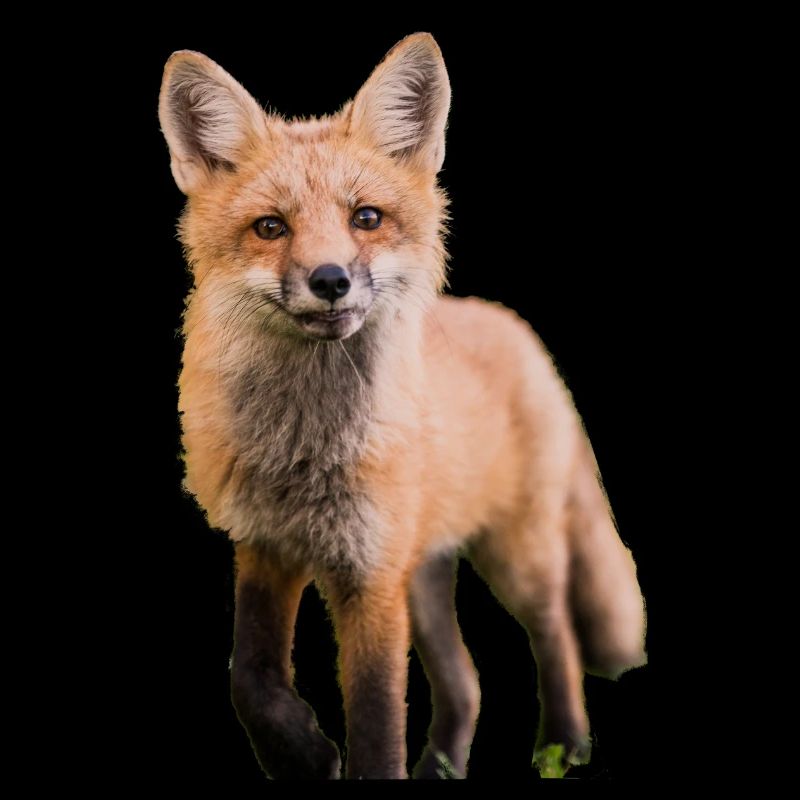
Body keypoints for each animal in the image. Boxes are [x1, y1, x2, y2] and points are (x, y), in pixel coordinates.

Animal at [158, 33, 646, 780]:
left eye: (366, 218)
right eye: (270, 227)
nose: (330, 280)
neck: (306, 453)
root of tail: (512, 325)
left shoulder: (371, 575)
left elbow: (377, 719)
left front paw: (337, 756)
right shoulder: (265, 546)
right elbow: (251, 677)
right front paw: (302, 751)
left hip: (515, 555)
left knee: (556, 633)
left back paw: (563, 744)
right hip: (424, 573)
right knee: (468, 680)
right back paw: (441, 764)